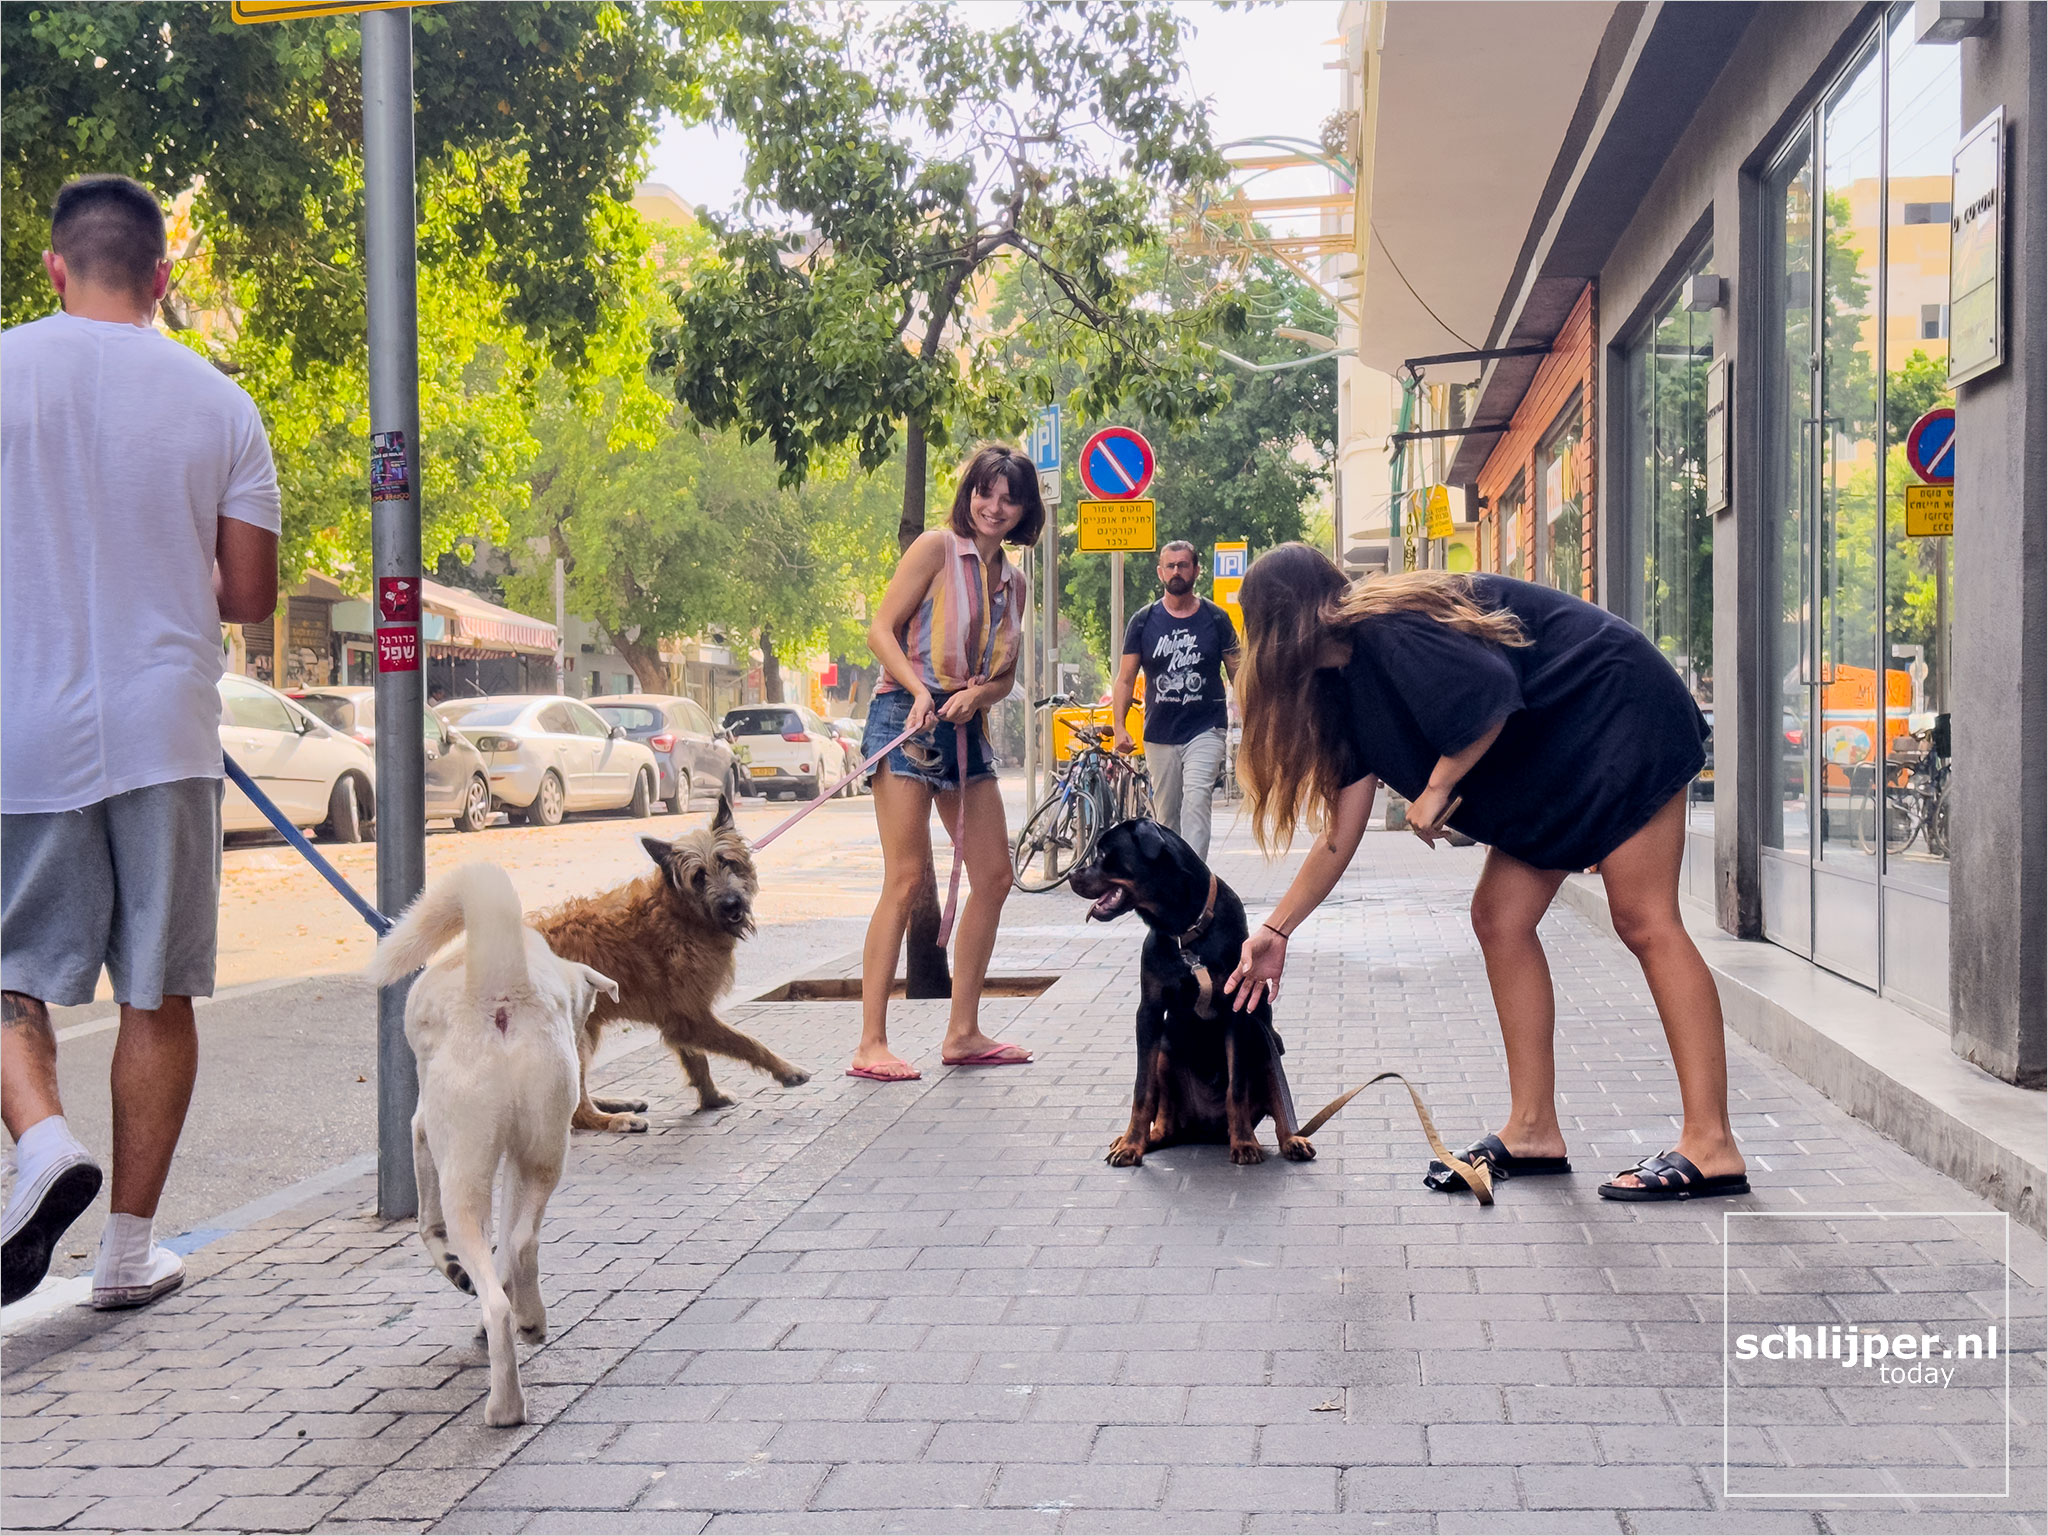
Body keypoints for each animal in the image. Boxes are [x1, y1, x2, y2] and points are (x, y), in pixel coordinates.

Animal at [370, 868, 614, 1433]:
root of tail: (502, 993)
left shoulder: (420, 1132)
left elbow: (427, 1225)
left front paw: (453, 1269)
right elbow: (508, 1245)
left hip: (463, 1168)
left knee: (486, 1274)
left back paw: (504, 1405)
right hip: (543, 1155)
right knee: (521, 1244)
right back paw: (529, 1321)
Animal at [528, 798, 806, 1138]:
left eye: (727, 862)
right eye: (698, 876)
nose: (731, 904)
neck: (680, 912)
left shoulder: (681, 1016)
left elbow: (698, 1060)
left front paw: (712, 1098)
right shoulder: (693, 1016)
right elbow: (747, 1042)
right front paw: (787, 1070)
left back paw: (616, 1103)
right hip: (574, 1037)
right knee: (576, 1112)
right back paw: (615, 1119)